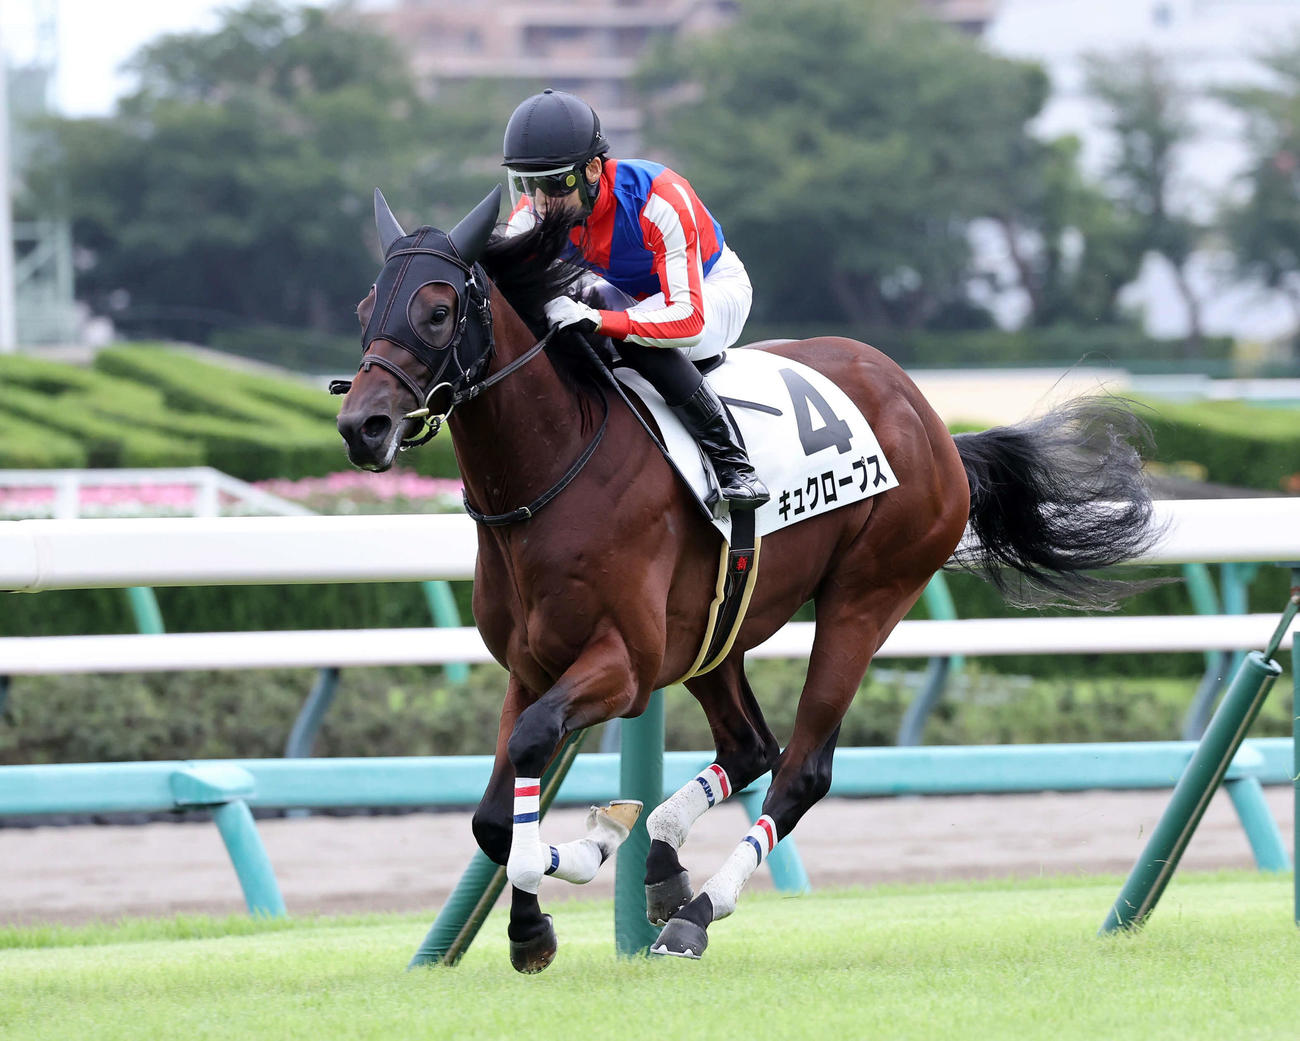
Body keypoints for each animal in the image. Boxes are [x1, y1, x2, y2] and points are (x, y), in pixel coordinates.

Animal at [334, 187, 1159, 970]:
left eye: (438, 311)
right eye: (367, 308)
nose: (361, 427)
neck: (552, 475)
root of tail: (932, 423)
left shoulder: (625, 664)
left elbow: (536, 748)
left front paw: (555, 893)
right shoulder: (532, 665)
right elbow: (493, 816)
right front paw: (554, 895)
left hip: (867, 596)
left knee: (801, 769)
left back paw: (696, 912)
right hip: (716, 627)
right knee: (751, 747)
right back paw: (660, 858)